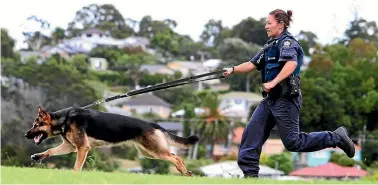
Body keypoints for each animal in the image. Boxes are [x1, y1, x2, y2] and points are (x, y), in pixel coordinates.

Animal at [24, 105, 199, 175]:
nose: (25, 135)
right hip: (148, 153)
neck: (65, 119)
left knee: (176, 157)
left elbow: (76, 167)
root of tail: (153, 123)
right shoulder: (71, 147)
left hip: (154, 151)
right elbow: (50, 150)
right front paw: (38, 156)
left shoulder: (82, 148)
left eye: (36, 125)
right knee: (173, 156)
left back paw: (184, 172)